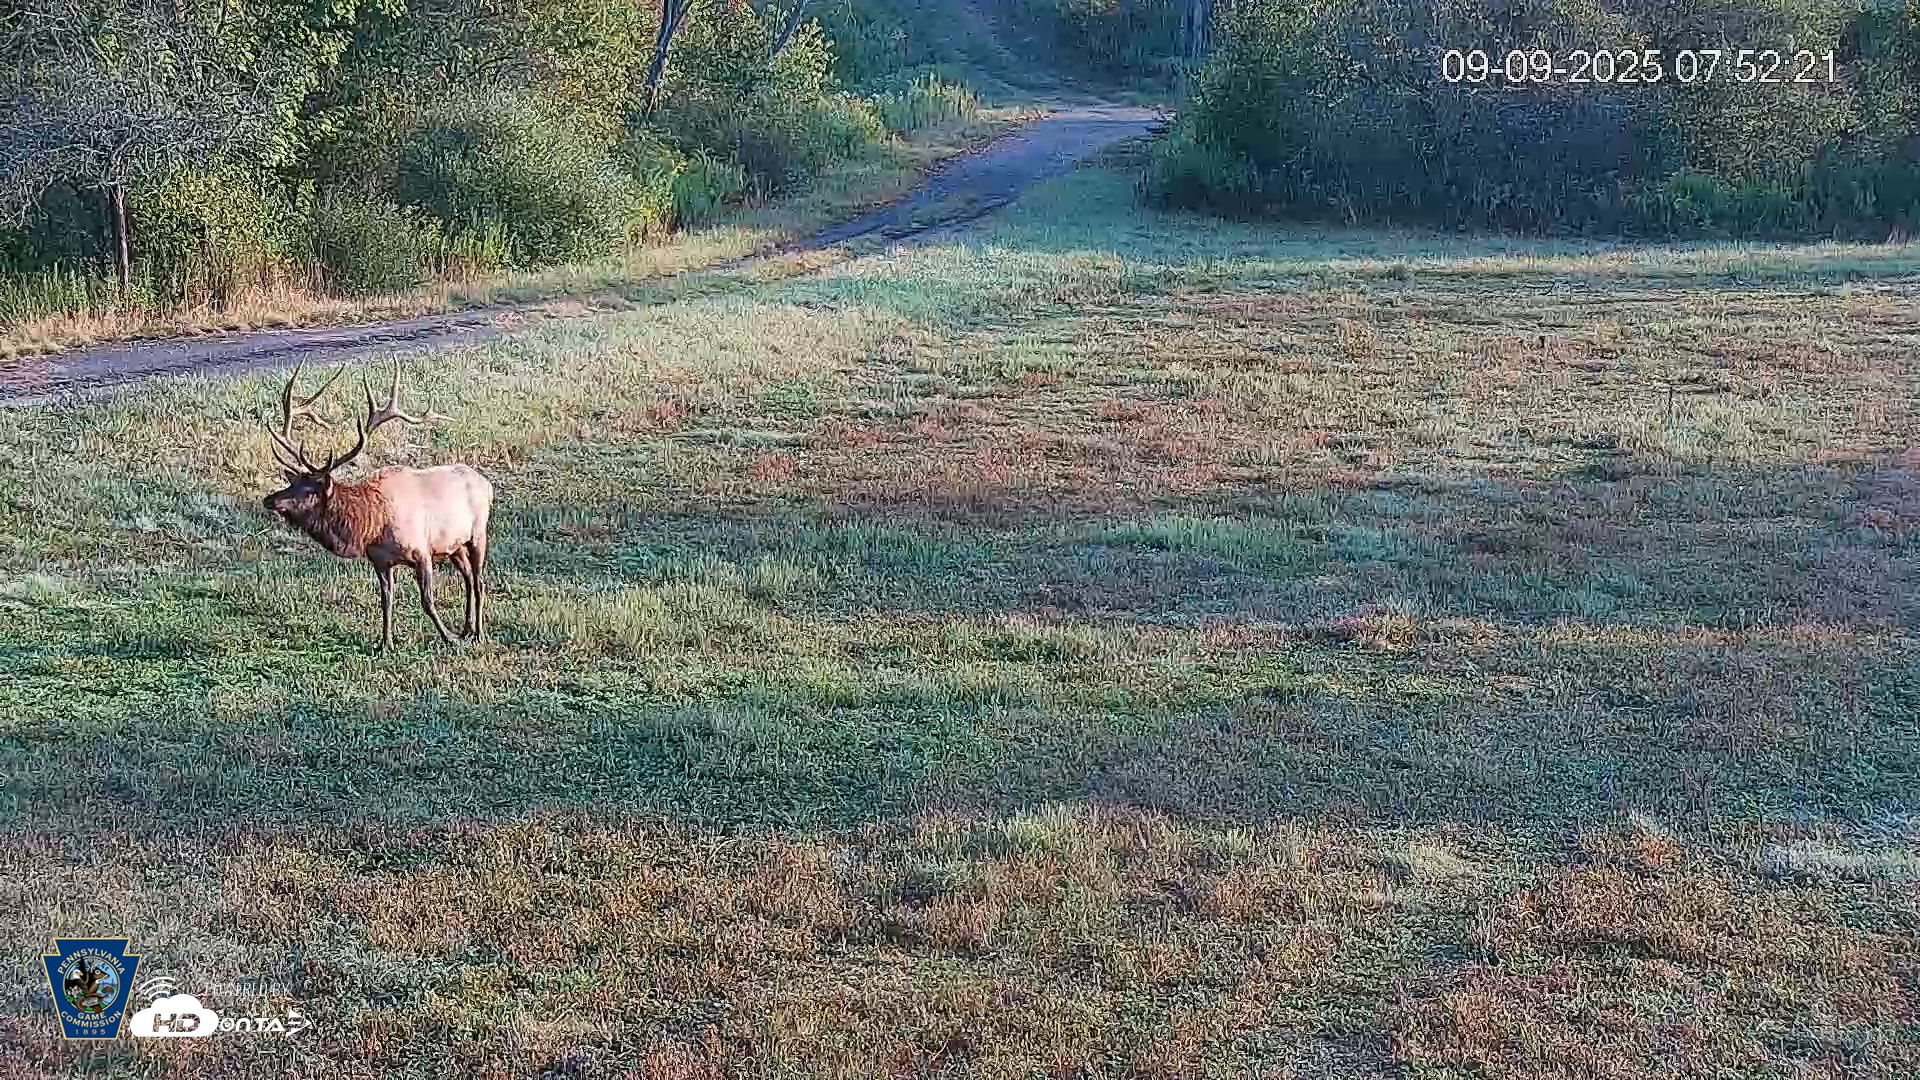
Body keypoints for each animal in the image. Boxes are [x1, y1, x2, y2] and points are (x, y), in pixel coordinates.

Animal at [260, 359, 494, 651]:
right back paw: (467, 629)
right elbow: (386, 600)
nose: (269, 499)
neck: (372, 524)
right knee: (468, 580)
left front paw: (447, 637)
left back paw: (479, 632)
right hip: (454, 545)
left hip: (477, 535)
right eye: (292, 484)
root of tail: (487, 484)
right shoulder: (380, 560)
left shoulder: (422, 551)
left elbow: (427, 601)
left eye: (309, 490)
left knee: (479, 581)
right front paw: (385, 643)